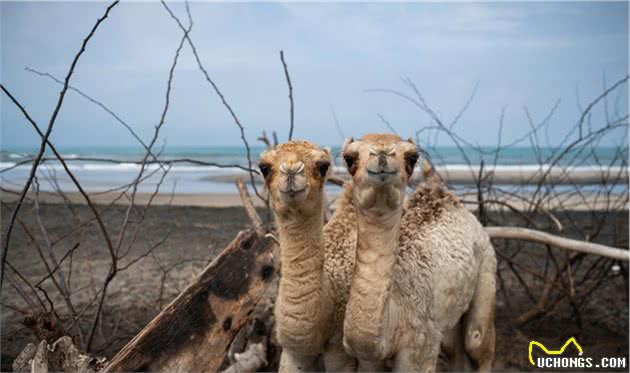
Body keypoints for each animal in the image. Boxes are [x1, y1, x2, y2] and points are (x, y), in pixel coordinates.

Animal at [340, 133, 498, 370]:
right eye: (349, 158)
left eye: (412, 157)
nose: (382, 156)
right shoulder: (368, 359)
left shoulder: (421, 344)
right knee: (455, 351)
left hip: (487, 264)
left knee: (477, 341)